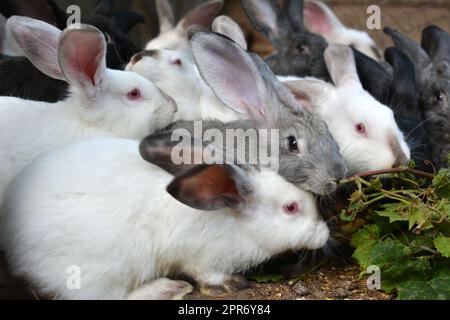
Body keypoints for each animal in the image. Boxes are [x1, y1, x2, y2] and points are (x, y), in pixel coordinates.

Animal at [1, 135, 328, 300]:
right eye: (291, 208)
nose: (324, 234)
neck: (235, 218)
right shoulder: (202, 257)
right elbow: (207, 274)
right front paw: (231, 284)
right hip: (102, 269)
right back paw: (168, 288)